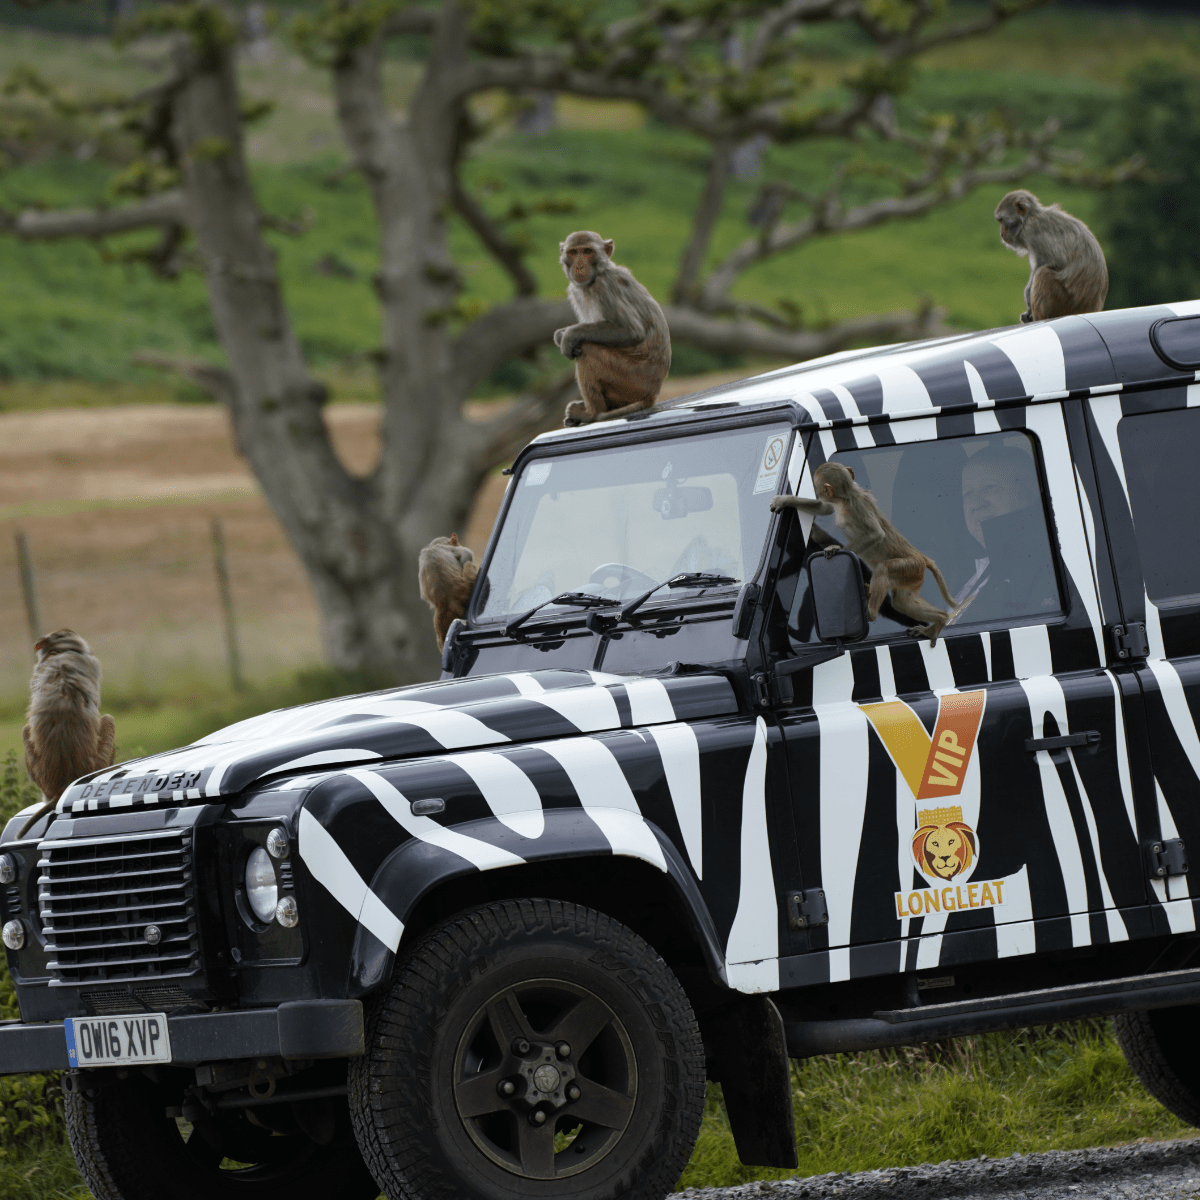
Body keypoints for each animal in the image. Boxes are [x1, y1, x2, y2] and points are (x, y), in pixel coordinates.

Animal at [554, 231, 671, 427]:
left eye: (587, 251)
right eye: (573, 252)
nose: (579, 266)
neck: (597, 275)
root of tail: (654, 392)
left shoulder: (604, 286)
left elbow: (630, 331)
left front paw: (570, 335)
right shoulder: (575, 291)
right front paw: (560, 335)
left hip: (631, 380)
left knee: (588, 349)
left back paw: (592, 413)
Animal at [770, 462, 959, 646]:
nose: (818, 492)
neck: (848, 496)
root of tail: (920, 556)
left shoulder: (856, 508)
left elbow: (876, 534)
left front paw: (834, 549)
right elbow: (824, 508)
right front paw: (785, 500)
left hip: (910, 566)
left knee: (884, 570)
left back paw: (871, 612)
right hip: (912, 575)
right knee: (902, 602)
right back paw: (940, 619)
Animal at [994, 190, 1108, 324]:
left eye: (1002, 220)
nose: (1001, 234)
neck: (1028, 219)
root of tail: (1092, 308)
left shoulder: (1034, 230)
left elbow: (1056, 261)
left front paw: (1028, 296)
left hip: (1066, 303)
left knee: (1043, 274)